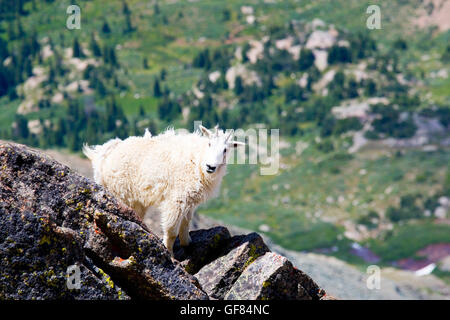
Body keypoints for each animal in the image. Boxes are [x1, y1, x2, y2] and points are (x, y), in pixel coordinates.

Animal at [82, 125, 244, 255]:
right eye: (209, 144)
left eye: (225, 150)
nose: (211, 167)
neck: (196, 161)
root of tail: (103, 154)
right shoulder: (176, 200)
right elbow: (171, 230)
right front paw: (169, 253)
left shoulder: (190, 201)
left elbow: (186, 223)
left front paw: (187, 243)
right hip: (120, 193)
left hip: (136, 201)